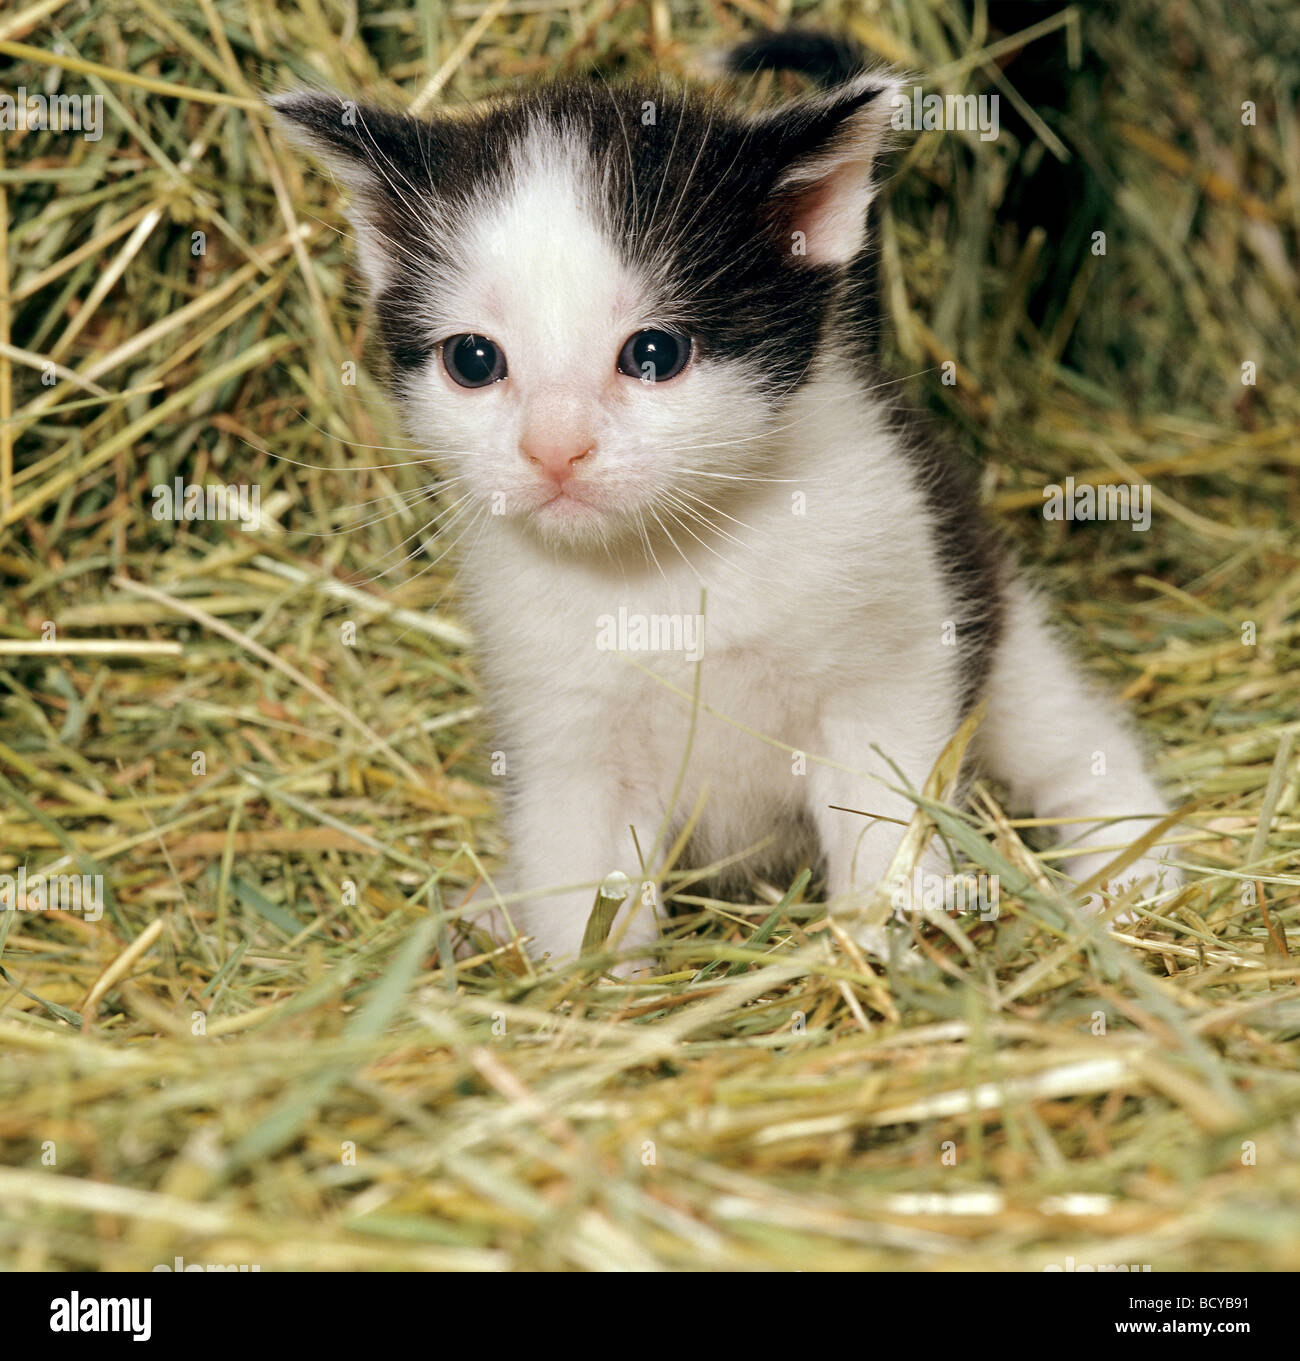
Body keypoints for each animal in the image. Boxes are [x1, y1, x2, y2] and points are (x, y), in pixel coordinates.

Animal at [272, 31, 1181, 969]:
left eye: (654, 353)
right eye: (474, 360)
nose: (554, 448)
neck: (670, 565)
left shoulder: (887, 665)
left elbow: (885, 820)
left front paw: (882, 949)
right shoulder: (564, 739)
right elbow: (580, 875)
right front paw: (589, 986)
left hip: (988, 609)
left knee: (1071, 738)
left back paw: (1132, 870)